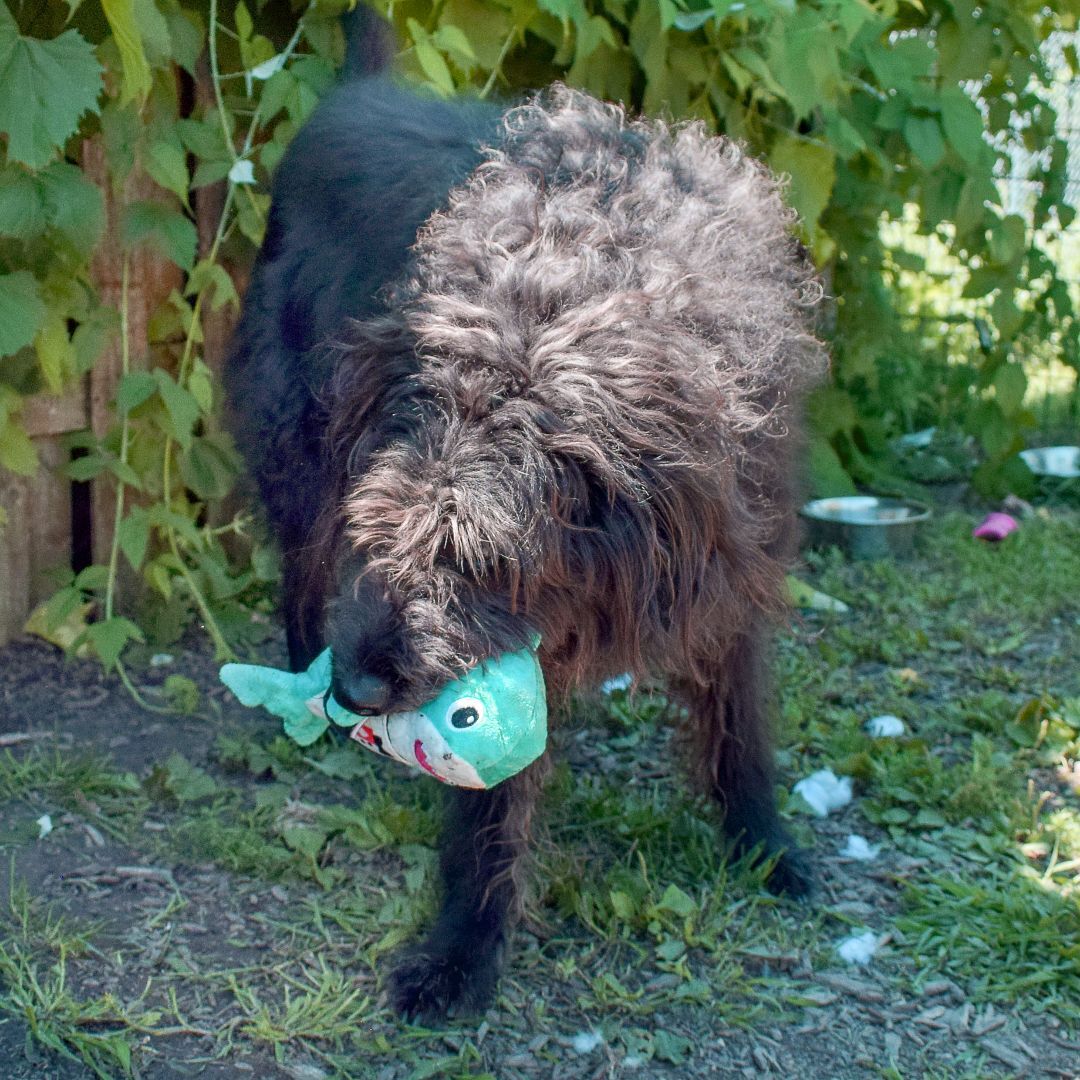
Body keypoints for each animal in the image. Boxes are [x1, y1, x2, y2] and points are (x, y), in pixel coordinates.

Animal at [223, 10, 820, 1019]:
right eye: (387, 533)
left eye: (476, 557)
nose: (359, 691)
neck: (555, 312)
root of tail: (357, 92)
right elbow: (490, 804)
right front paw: (462, 951)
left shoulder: (732, 565)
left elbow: (738, 721)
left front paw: (764, 844)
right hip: (295, 443)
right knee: (300, 567)